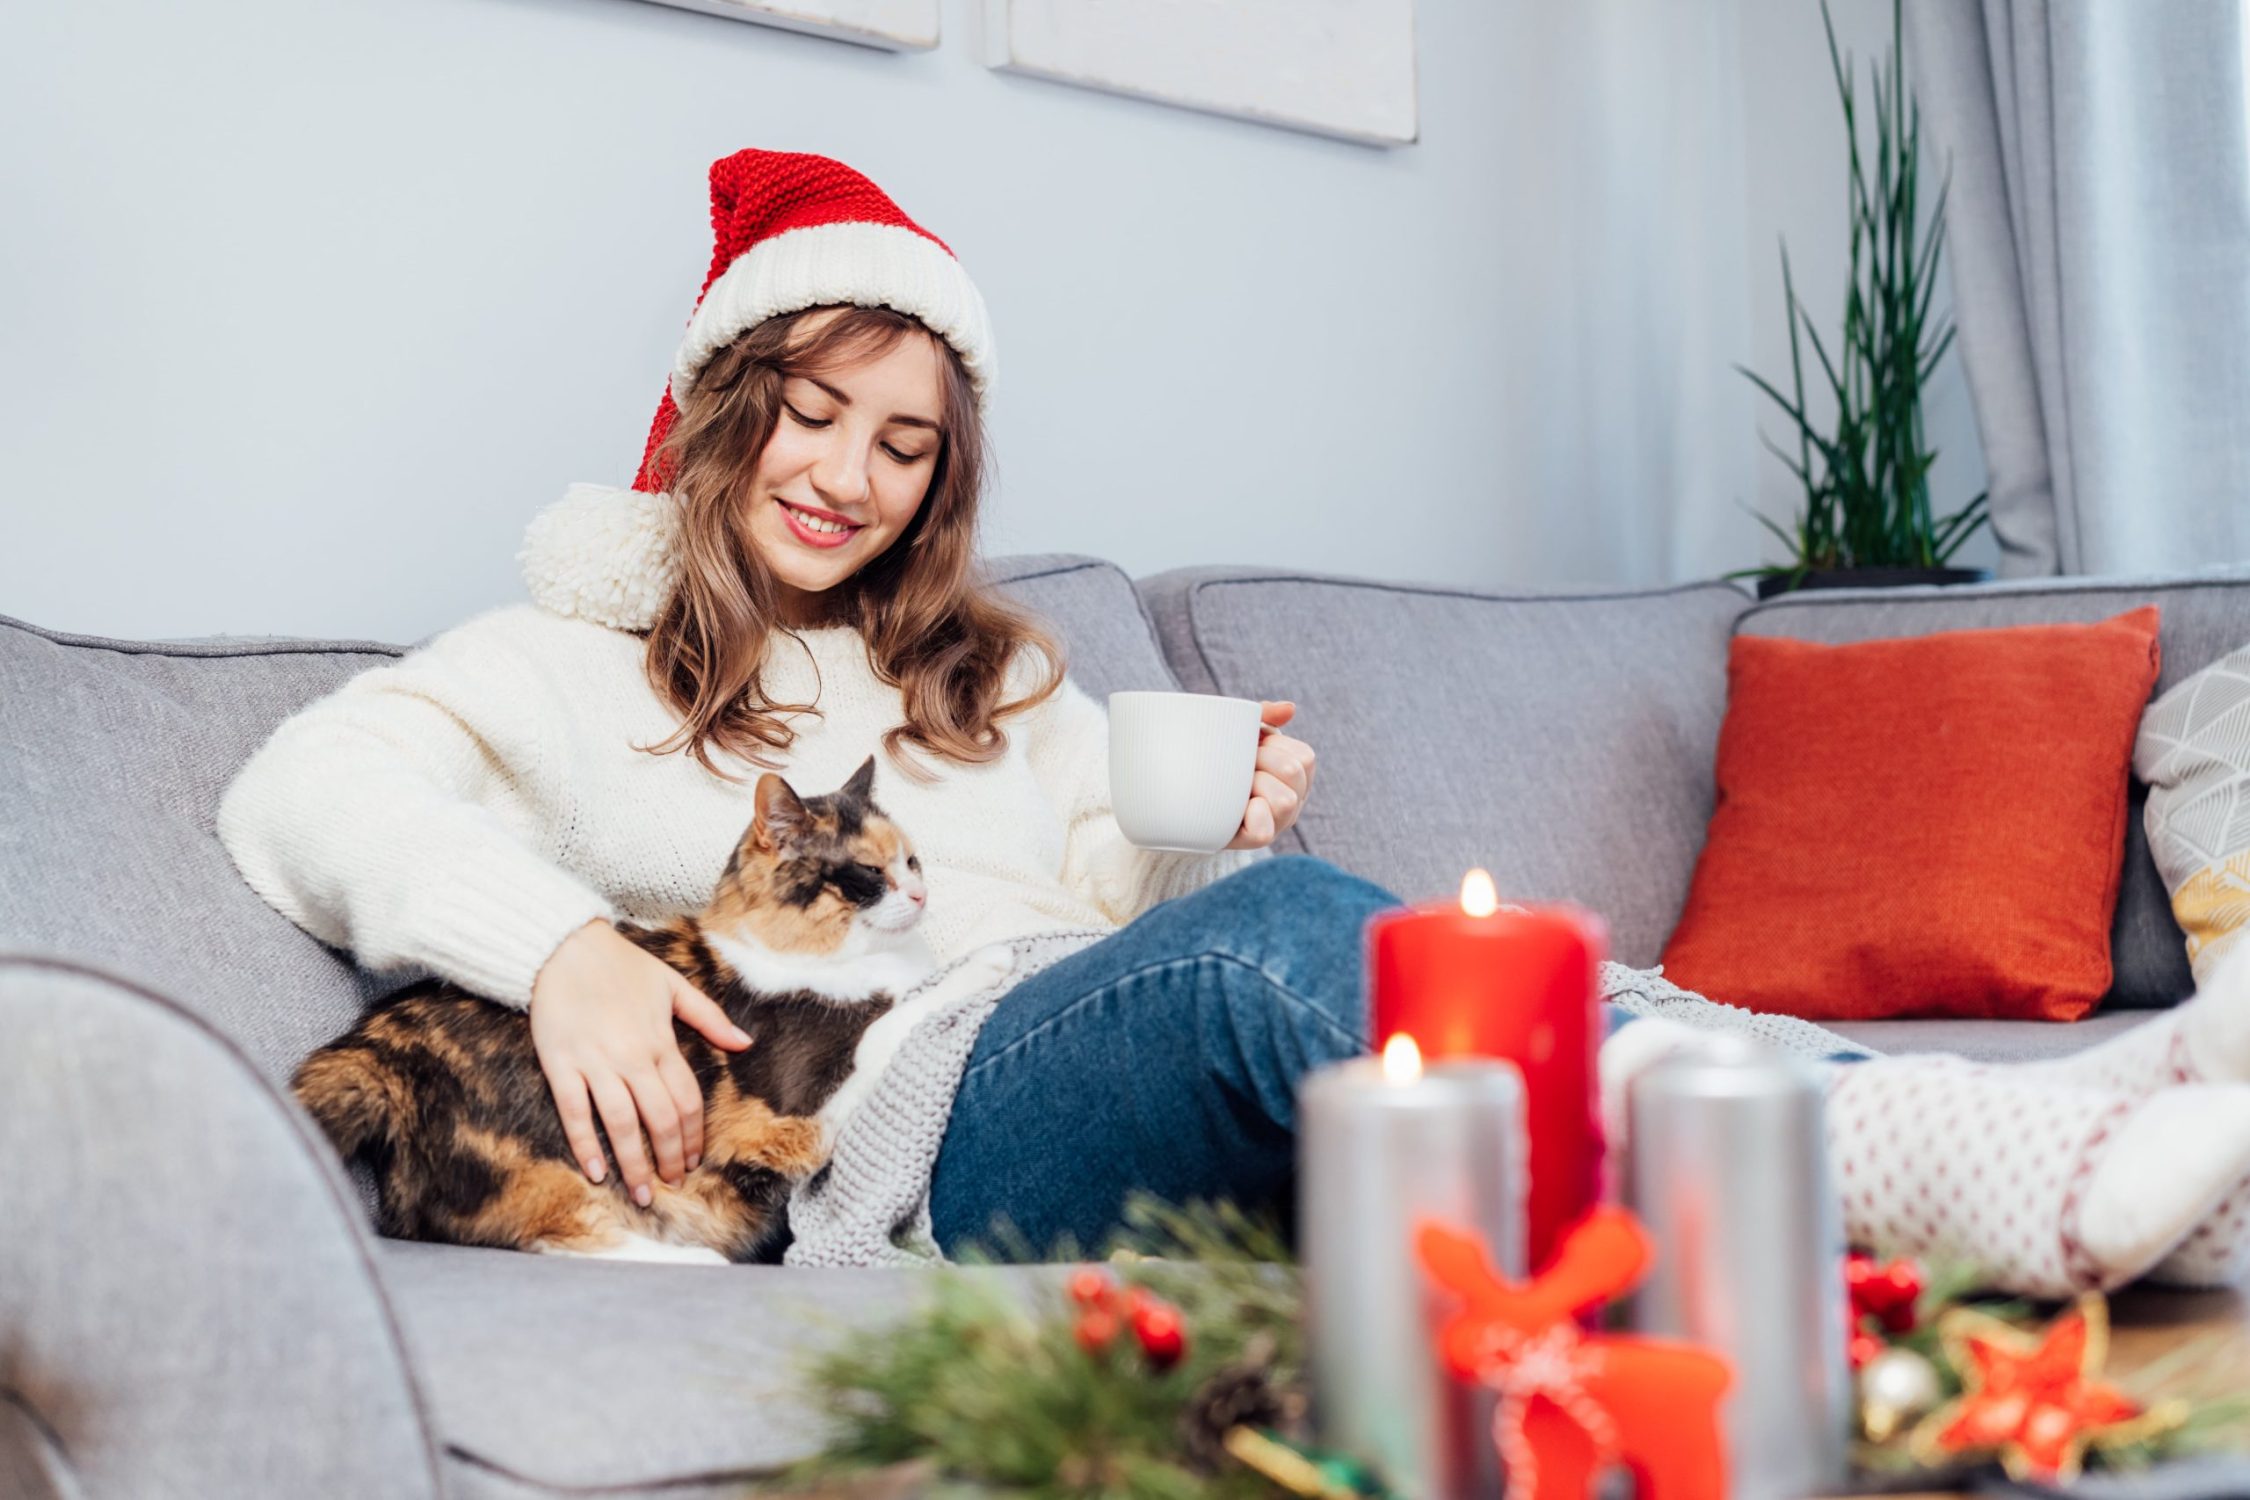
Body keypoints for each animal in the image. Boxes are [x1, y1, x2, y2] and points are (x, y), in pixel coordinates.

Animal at [294, 755, 1017, 1259]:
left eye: (913, 861)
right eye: (869, 873)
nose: (921, 895)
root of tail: (371, 1045)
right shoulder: (781, 1117)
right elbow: (891, 1025)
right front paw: (991, 963)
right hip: (543, 1169)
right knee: (534, 1231)